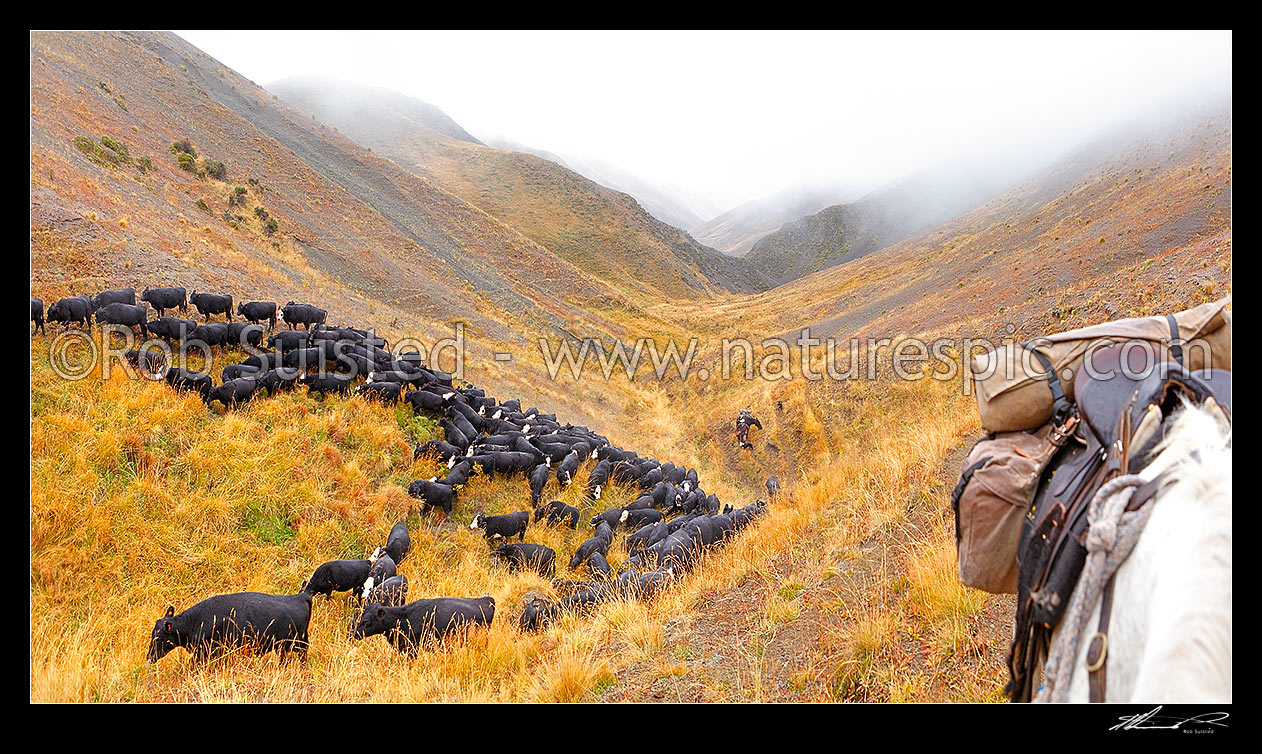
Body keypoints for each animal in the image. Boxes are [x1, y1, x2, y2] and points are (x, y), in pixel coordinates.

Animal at [146, 591, 311, 661]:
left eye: (158, 639)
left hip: (290, 643)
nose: (149, 658)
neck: (195, 622)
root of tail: (301, 596)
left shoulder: (206, 652)